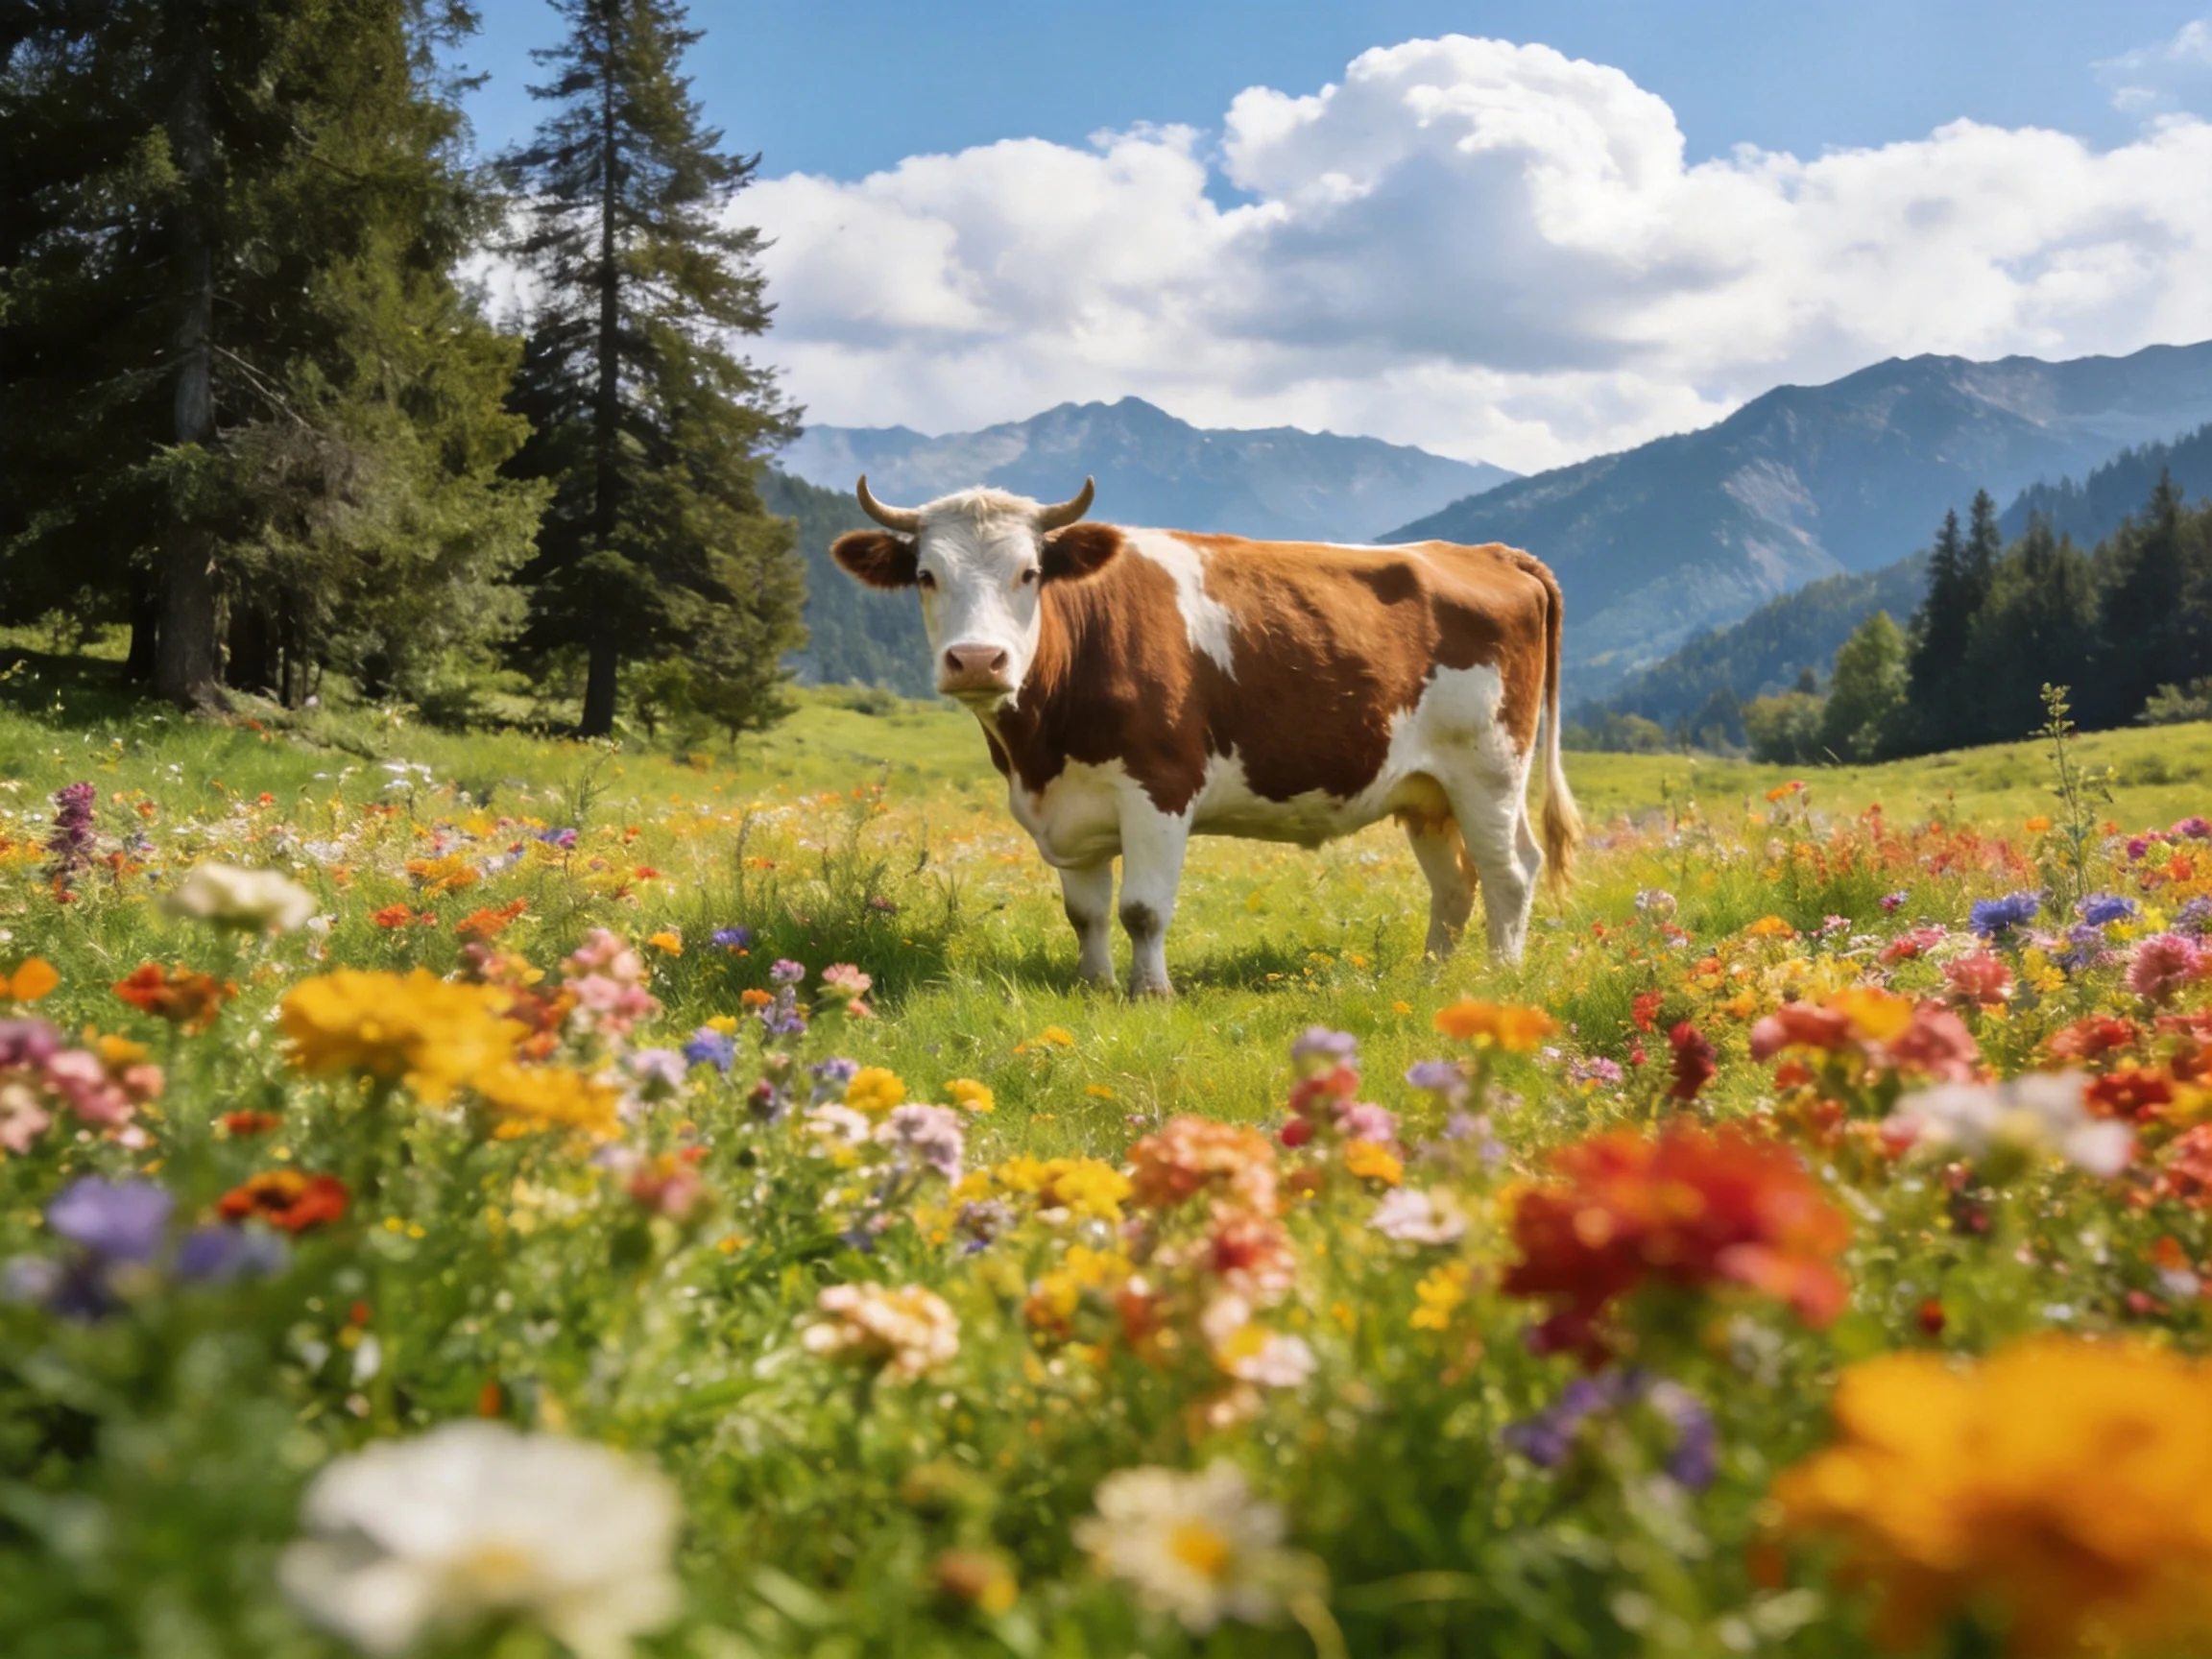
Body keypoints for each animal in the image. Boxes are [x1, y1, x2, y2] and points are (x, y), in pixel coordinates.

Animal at [830, 476, 1580, 997]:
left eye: (1030, 573)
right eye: (926, 576)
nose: (979, 660)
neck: (1039, 750)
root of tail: (1488, 552)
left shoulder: (1160, 786)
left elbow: (1142, 910)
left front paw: (1151, 992)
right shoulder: (1068, 806)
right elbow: (1085, 913)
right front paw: (1094, 987)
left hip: (1489, 770)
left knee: (1511, 872)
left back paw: (1497, 980)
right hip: (1428, 792)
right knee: (1456, 883)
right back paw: (1431, 979)